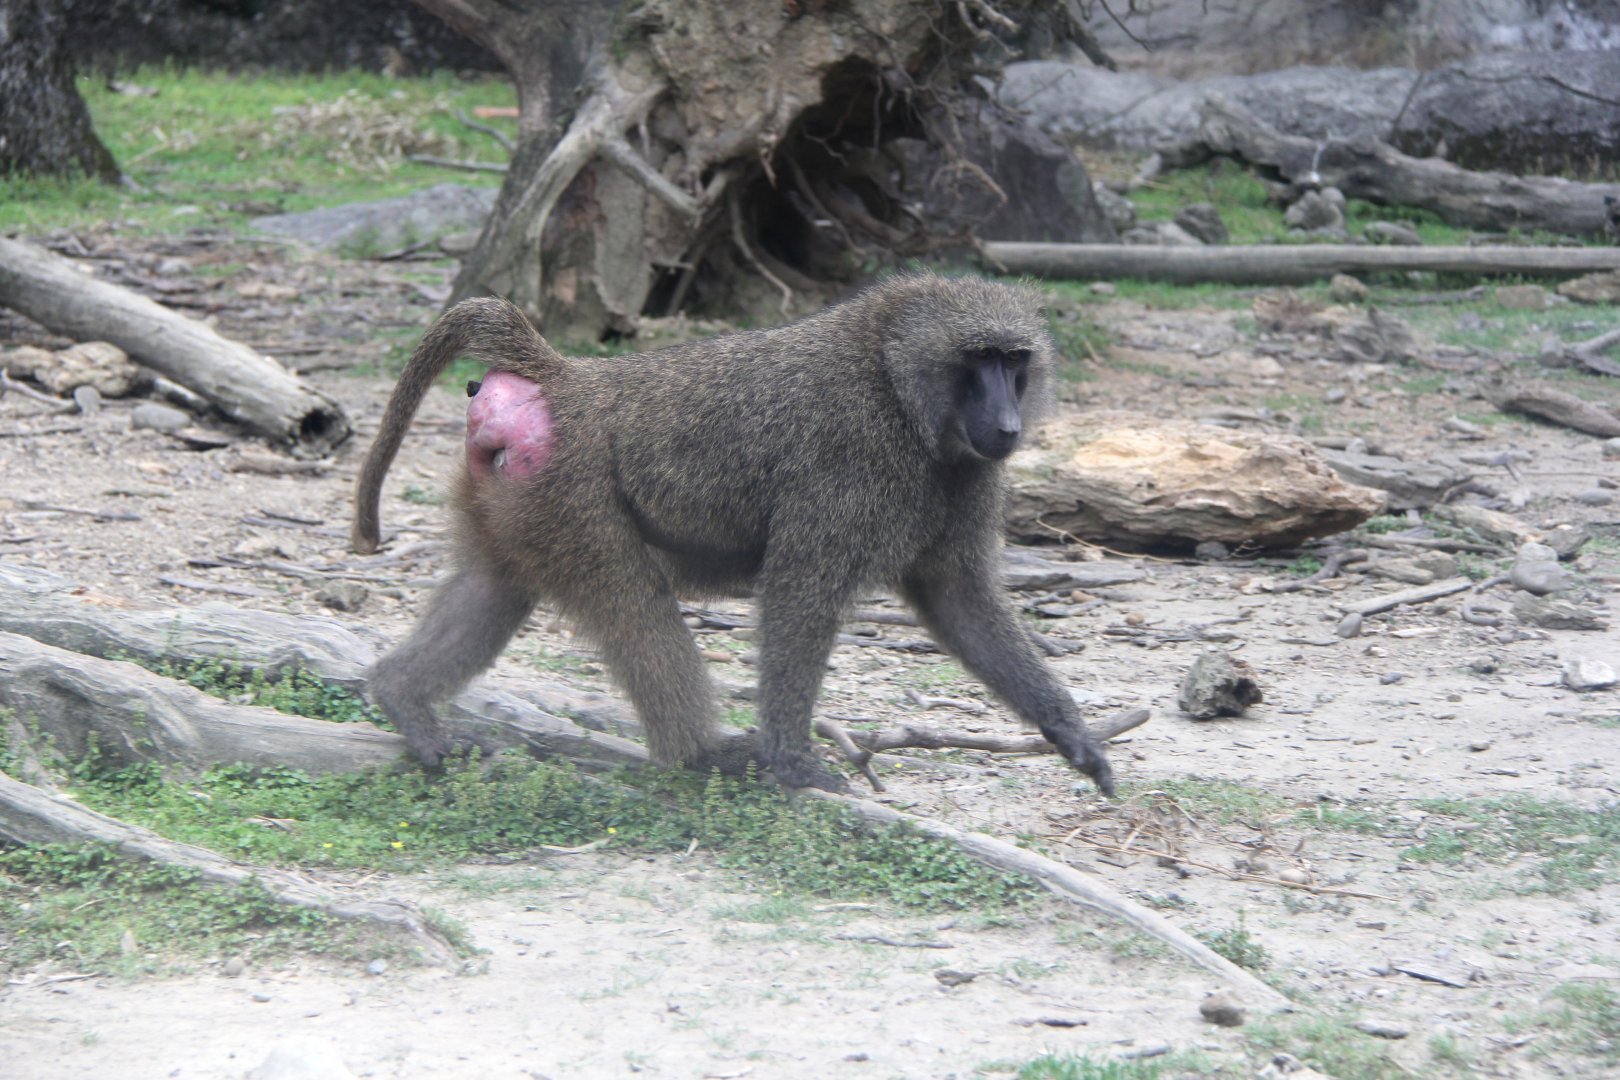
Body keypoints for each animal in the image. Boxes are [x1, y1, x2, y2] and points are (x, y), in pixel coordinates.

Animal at [351, 272, 1114, 796]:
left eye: (1014, 363)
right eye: (977, 360)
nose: (1008, 427)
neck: (896, 390)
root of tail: (568, 380)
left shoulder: (968, 477)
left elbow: (958, 598)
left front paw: (1071, 734)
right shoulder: (847, 465)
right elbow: (799, 597)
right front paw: (793, 761)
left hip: (517, 504)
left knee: (494, 588)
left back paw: (402, 699)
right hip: (572, 495)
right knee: (634, 608)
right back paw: (701, 754)